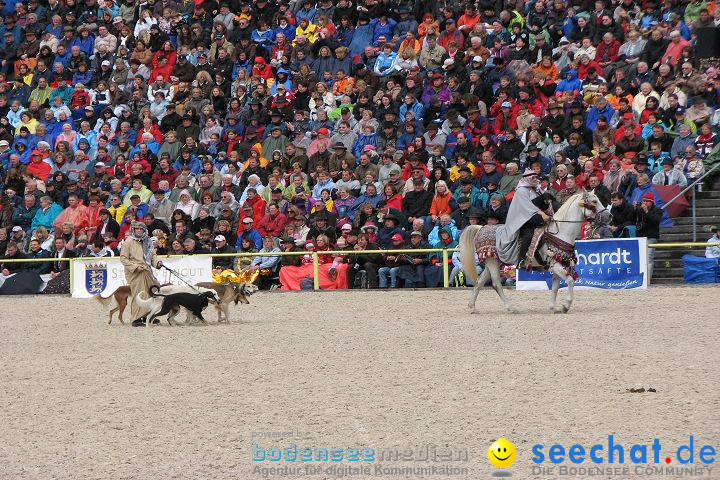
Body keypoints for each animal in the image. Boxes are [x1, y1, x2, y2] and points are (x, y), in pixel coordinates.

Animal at [458, 191, 604, 316]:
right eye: (594, 201)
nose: (607, 215)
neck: (560, 233)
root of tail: (481, 228)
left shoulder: (556, 264)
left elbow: (556, 287)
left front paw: (554, 307)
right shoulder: (555, 265)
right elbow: (569, 281)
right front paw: (565, 306)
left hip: (492, 263)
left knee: (479, 282)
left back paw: (473, 307)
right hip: (492, 263)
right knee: (496, 285)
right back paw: (511, 308)